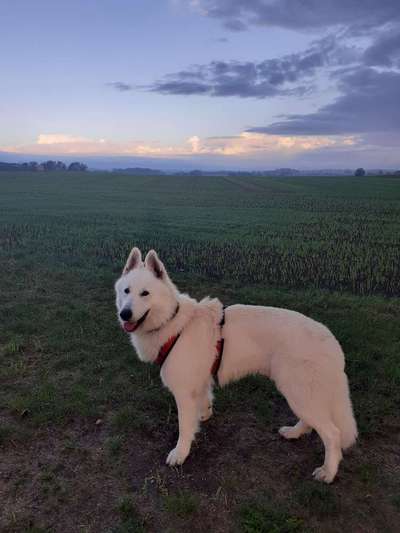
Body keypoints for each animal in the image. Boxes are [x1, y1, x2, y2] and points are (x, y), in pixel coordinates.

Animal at [115, 247, 356, 480]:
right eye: (126, 291)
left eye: (145, 293)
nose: (124, 314)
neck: (173, 322)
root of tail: (331, 340)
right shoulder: (200, 383)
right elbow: (205, 402)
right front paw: (203, 415)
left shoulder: (183, 392)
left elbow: (184, 427)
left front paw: (180, 453)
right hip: (302, 395)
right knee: (312, 422)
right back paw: (294, 433)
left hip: (298, 392)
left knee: (332, 434)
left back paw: (328, 472)